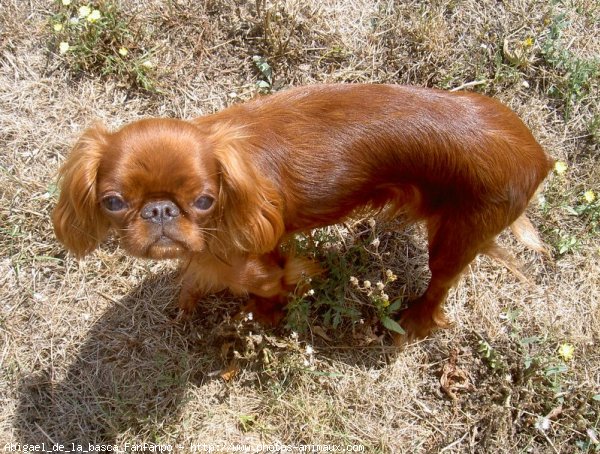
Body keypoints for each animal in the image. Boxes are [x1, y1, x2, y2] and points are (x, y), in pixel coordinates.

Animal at [52, 85, 552, 338]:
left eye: (204, 201)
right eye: (113, 202)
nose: (159, 210)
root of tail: (537, 155)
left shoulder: (258, 266)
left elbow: (269, 289)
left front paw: (265, 317)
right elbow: (194, 278)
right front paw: (186, 301)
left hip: (455, 239)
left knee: (440, 288)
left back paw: (412, 322)